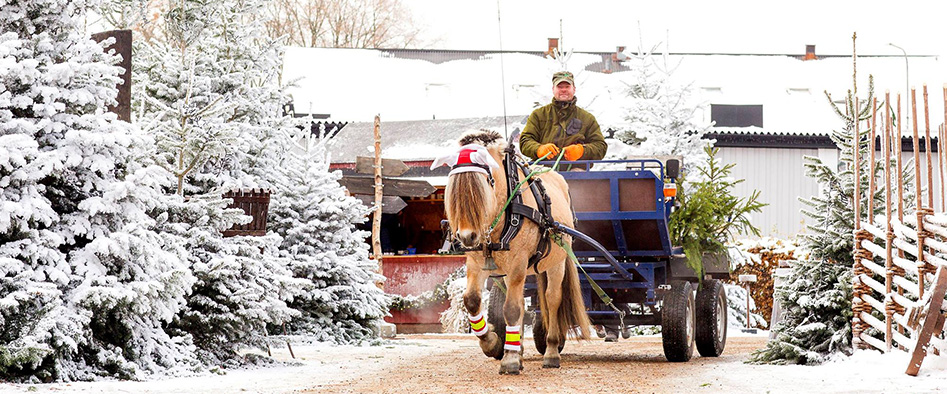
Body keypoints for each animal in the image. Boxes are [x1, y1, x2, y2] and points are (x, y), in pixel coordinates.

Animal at [434, 130, 588, 376]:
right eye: (453, 186)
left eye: (484, 184)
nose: (467, 237)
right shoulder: (476, 264)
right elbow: (472, 301)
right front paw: (493, 342)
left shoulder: (517, 264)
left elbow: (513, 309)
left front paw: (510, 360)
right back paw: (519, 348)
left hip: (557, 263)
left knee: (552, 299)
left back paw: (551, 351)